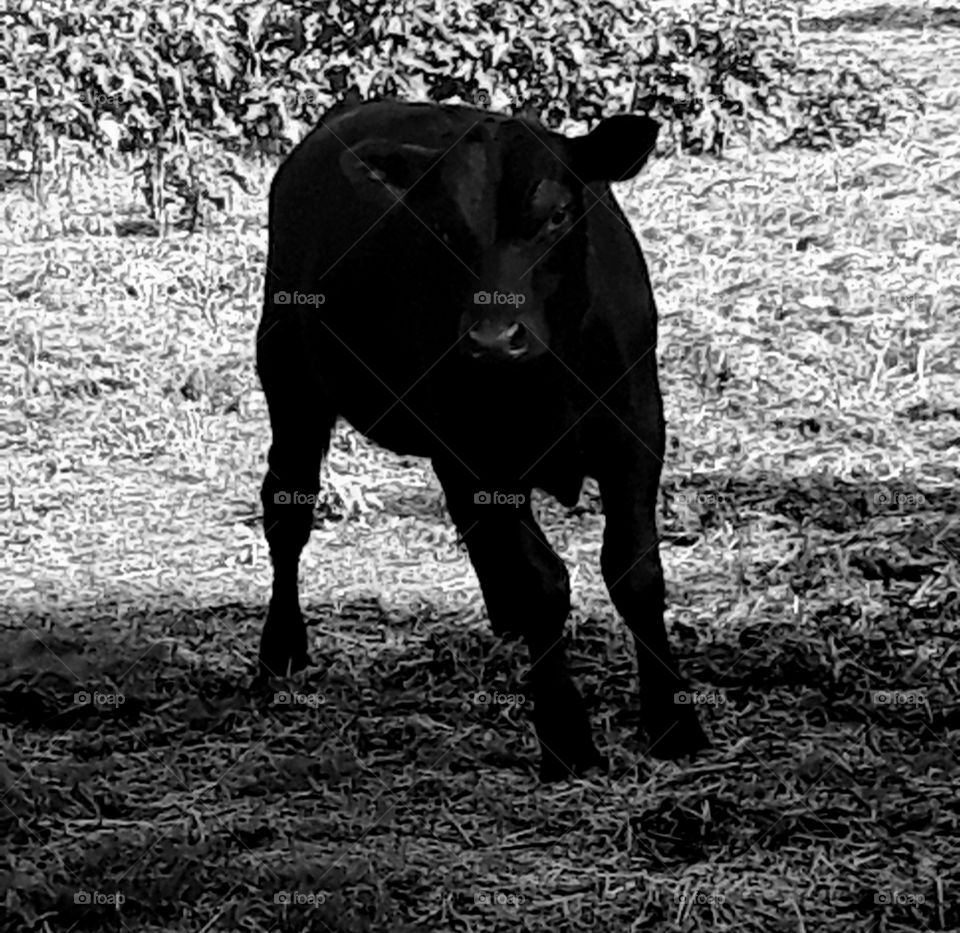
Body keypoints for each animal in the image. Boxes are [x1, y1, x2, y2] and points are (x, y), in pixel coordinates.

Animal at [256, 99, 710, 781]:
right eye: (443, 228)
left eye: (556, 215)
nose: (494, 337)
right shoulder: (479, 455)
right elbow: (542, 582)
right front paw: (566, 736)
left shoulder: (634, 434)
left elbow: (635, 571)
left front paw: (673, 721)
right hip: (292, 383)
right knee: (288, 510)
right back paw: (281, 645)